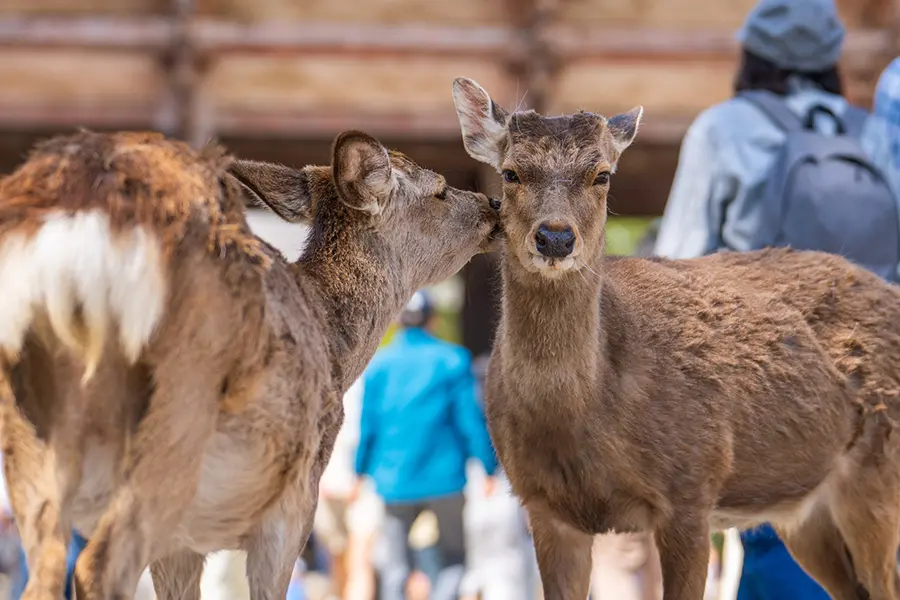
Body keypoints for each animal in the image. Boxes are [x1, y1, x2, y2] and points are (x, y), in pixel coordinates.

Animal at [0, 127, 500, 600]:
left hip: (30, 449)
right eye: (440, 190)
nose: (493, 204)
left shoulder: (184, 541)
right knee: (98, 565)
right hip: (178, 419)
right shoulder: (296, 498)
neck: (331, 340)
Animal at [450, 77, 900, 600]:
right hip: (804, 511)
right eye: (510, 173)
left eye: (602, 175)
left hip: (877, 473)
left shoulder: (691, 486)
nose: (556, 238)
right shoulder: (542, 505)